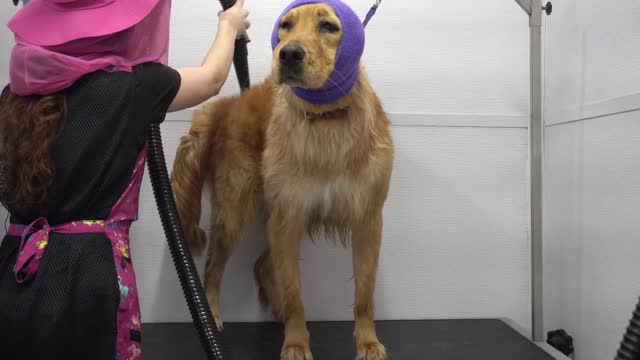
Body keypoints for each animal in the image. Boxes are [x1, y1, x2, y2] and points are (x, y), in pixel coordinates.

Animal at [172, 3, 392, 360]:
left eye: (328, 26)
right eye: (285, 26)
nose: (288, 54)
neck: (325, 120)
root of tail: (231, 103)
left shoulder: (367, 219)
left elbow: (364, 293)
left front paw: (368, 342)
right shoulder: (288, 218)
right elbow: (294, 294)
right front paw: (296, 343)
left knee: (262, 265)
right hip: (236, 209)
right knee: (214, 265)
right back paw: (214, 313)